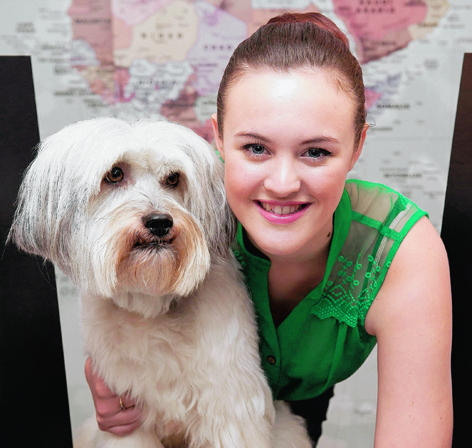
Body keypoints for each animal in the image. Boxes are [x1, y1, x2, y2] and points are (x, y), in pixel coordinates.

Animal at [8, 117, 310, 446]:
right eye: (115, 173)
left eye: (174, 178)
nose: (160, 222)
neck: (151, 303)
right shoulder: (128, 420)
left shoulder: (231, 410)